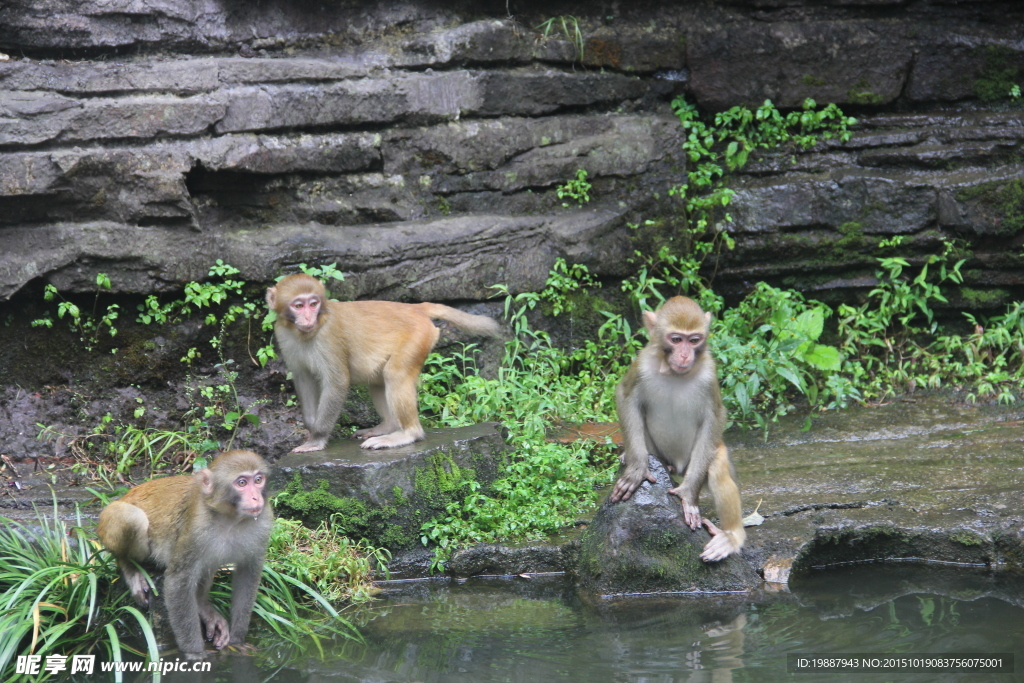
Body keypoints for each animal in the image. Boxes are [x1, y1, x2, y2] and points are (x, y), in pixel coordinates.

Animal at [98, 450, 274, 659]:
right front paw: (194, 652)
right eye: (241, 483)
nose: (256, 498)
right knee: (132, 518)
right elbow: (178, 581)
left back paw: (202, 604)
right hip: (109, 520)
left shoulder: (263, 522)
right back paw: (129, 567)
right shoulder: (197, 528)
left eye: (258, 480)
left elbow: (248, 574)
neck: (231, 518)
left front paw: (237, 640)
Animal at [266, 272, 501, 454]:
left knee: (395, 374)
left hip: (418, 337)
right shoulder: (283, 335)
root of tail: (415, 308)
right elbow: (303, 378)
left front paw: (317, 439)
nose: (308, 318)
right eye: (299, 305)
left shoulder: (328, 337)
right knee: (379, 379)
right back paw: (388, 427)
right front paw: (311, 428)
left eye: (313, 304)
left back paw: (406, 434)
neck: (305, 332)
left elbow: (337, 382)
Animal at [606, 296, 745, 565]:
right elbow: (626, 397)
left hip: (702, 458)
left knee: (717, 470)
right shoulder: (642, 363)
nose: (684, 355)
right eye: (676, 339)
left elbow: (715, 417)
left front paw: (688, 497)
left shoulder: (709, 372)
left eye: (694, 340)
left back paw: (732, 537)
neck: (673, 372)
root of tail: (679, 467)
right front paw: (636, 469)